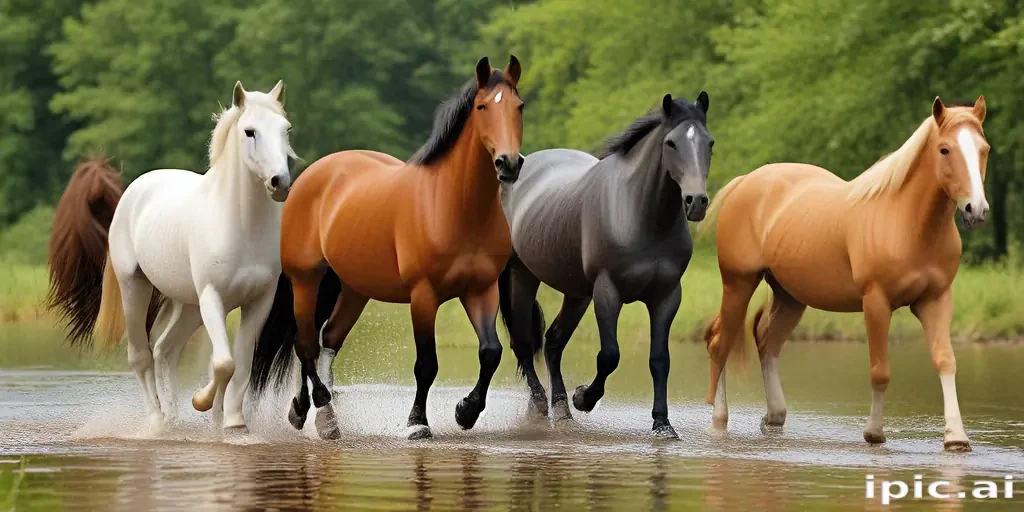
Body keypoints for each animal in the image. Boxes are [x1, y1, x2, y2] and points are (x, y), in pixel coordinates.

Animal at [47, 81, 294, 431]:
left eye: (285, 129)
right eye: (249, 131)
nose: (279, 182)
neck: (240, 224)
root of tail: (135, 189)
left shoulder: (258, 302)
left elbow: (242, 365)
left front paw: (232, 422)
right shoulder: (213, 298)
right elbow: (223, 363)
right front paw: (202, 402)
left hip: (188, 305)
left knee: (166, 350)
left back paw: (174, 417)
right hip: (136, 288)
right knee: (141, 355)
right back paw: (157, 421)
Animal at [249, 56, 524, 440]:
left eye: (519, 106)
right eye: (482, 107)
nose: (509, 163)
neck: (454, 206)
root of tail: (310, 177)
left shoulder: (481, 291)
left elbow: (491, 352)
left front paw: (466, 411)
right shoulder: (424, 296)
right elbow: (427, 364)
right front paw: (417, 423)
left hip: (353, 289)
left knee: (326, 339)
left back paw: (312, 413)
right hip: (306, 280)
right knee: (303, 343)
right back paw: (321, 411)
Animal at [498, 92, 713, 437]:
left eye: (710, 143)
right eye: (671, 143)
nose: (696, 202)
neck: (639, 214)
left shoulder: (666, 296)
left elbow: (660, 359)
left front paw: (662, 423)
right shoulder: (607, 292)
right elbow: (609, 356)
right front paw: (584, 398)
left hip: (576, 293)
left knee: (553, 342)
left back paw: (562, 410)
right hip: (523, 276)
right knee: (523, 342)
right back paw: (542, 405)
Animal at [702, 96, 988, 451]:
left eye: (984, 149)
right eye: (945, 149)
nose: (976, 209)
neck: (907, 222)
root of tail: (745, 182)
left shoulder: (935, 300)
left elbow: (945, 360)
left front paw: (956, 437)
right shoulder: (876, 302)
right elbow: (880, 371)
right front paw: (874, 433)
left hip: (790, 296)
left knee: (768, 342)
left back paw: (775, 416)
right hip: (738, 283)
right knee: (720, 342)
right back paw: (718, 421)